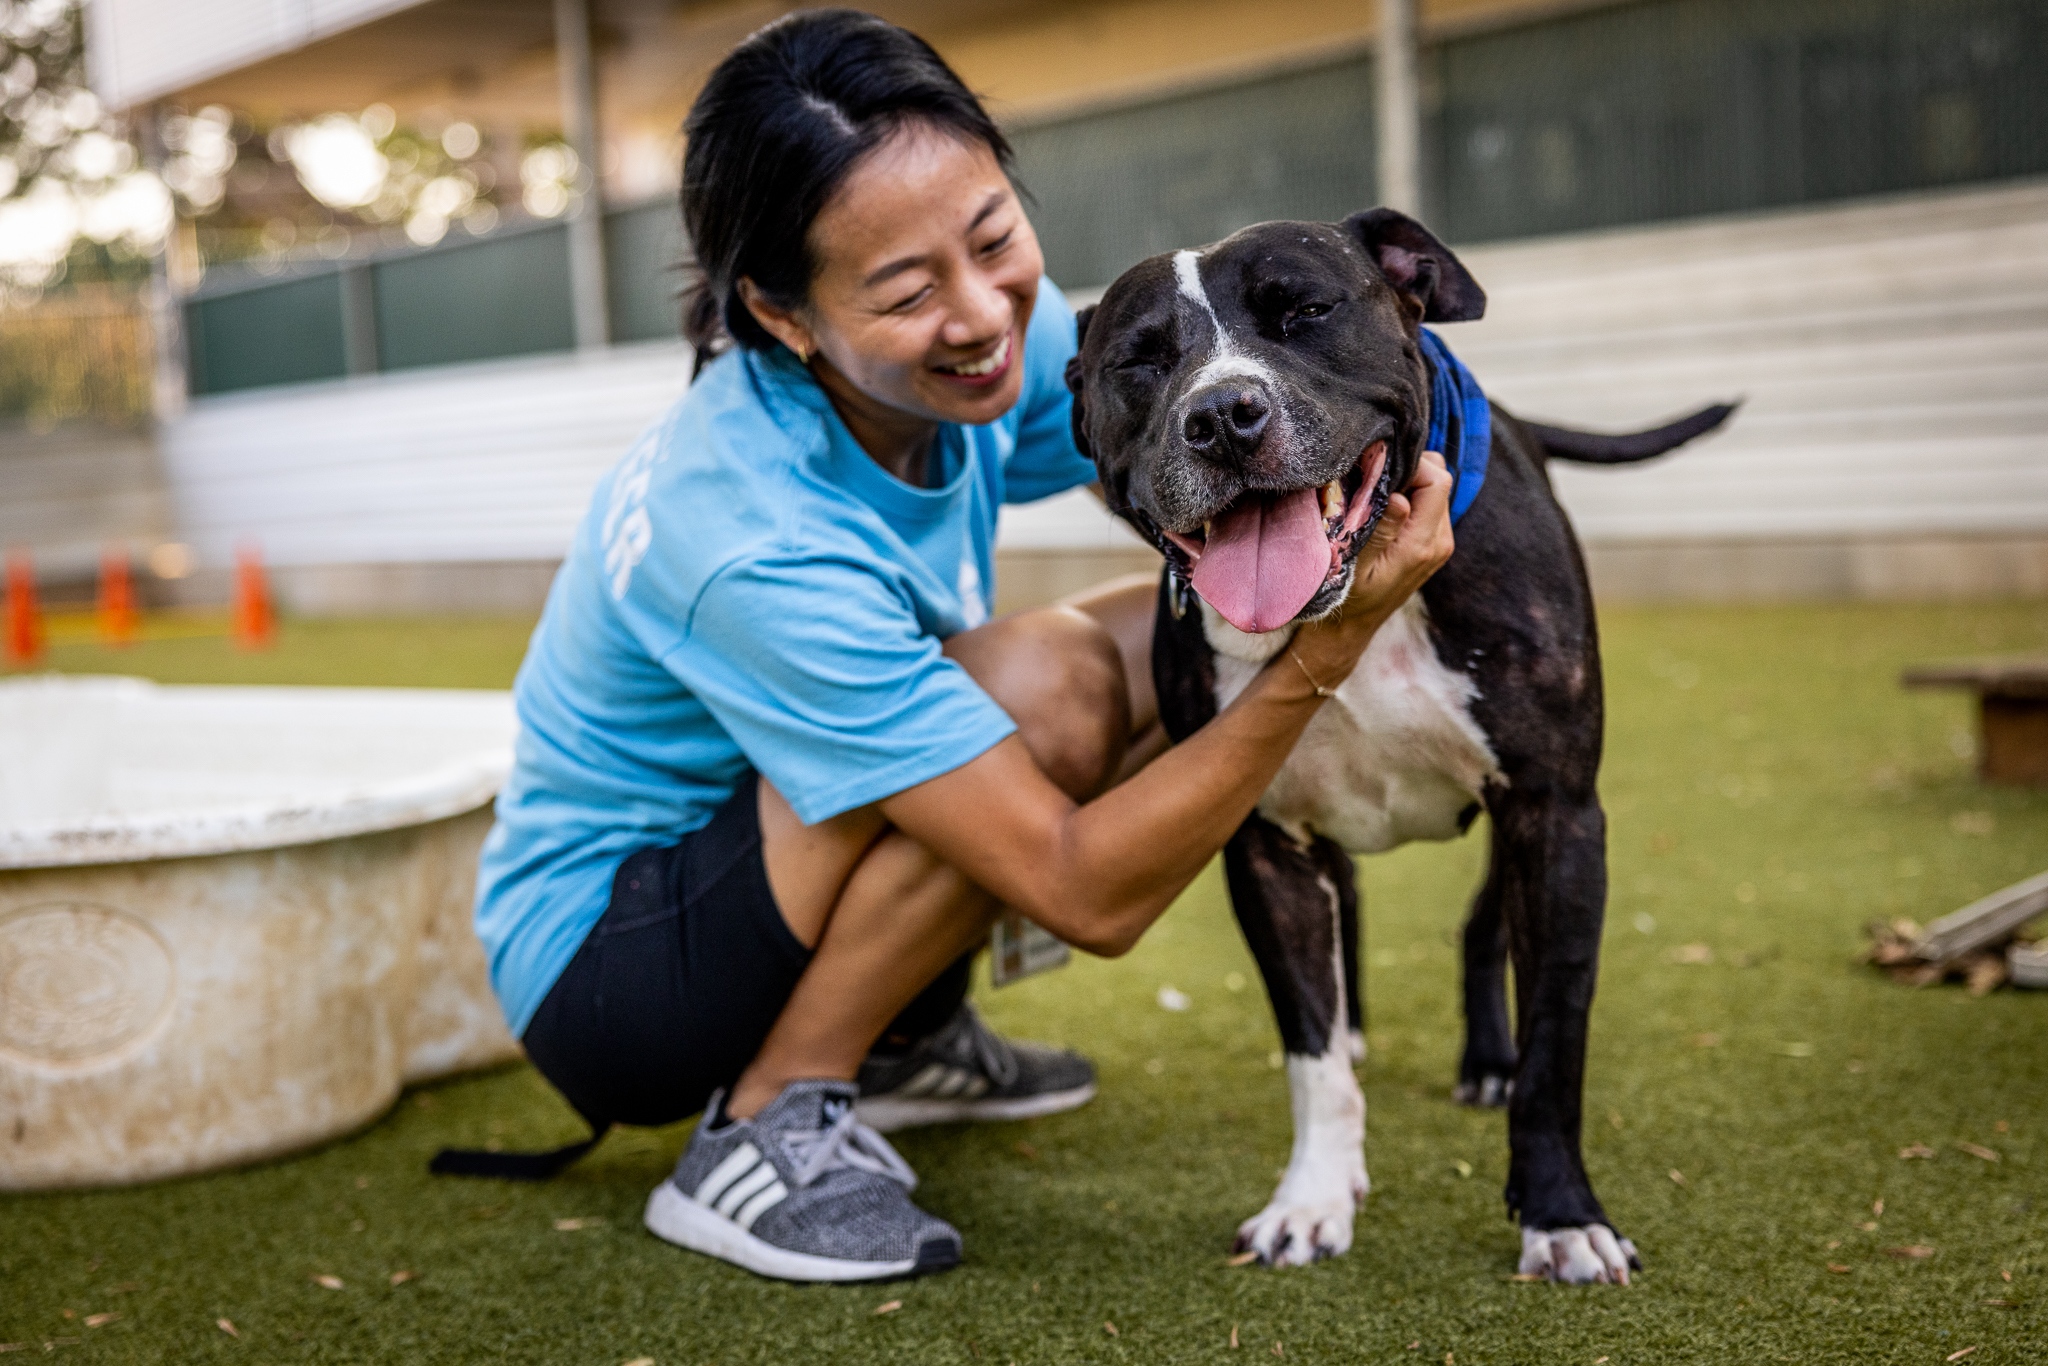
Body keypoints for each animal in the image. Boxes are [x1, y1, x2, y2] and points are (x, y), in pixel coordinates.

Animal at [1064, 205, 1736, 1286]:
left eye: (1303, 311)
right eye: (1141, 359)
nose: (1221, 416)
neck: (1358, 607)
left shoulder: (1554, 808)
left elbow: (1558, 1040)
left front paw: (1561, 1216)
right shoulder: (1262, 842)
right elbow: (1309, 1048)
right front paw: (1310, 1200)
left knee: (1482, 929)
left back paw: (1487, 1063)